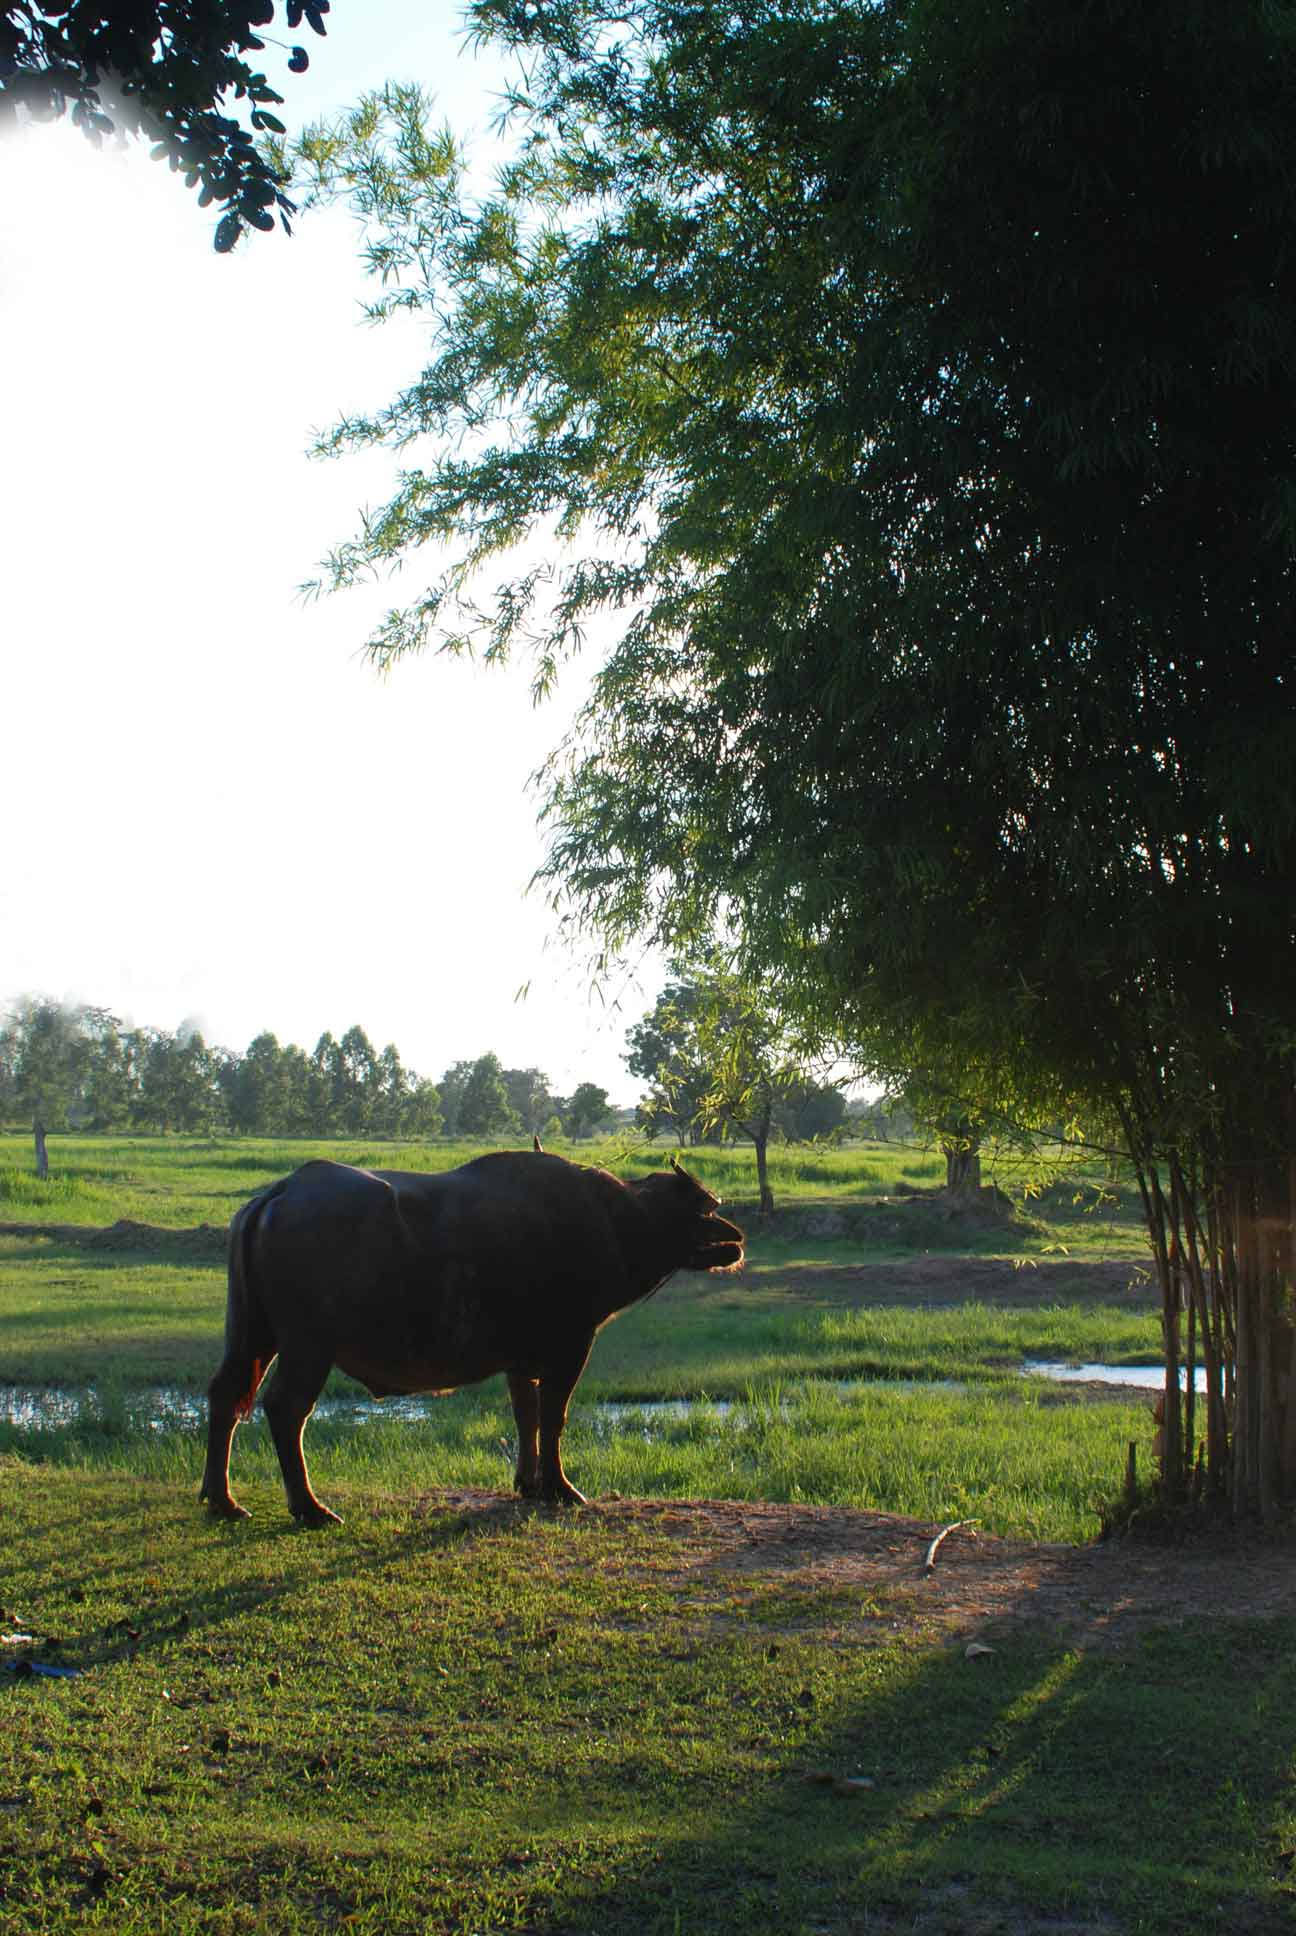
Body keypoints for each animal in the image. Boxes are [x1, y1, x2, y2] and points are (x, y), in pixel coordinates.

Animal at [198, 1146, 743, 1525]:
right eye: (701, 1211)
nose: (735, 1236)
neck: (614, 1222)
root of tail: (280, 1192)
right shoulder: (572, 1345)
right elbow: (554, 1417)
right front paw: (560, 1487)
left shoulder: (521, 1359)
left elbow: (526, 1417)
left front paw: (528, 1482)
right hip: (307, 1347)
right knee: (285, 1409)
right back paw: (309, 1508)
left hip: (250, 1333)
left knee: (225, 1397)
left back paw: (222, 1500)